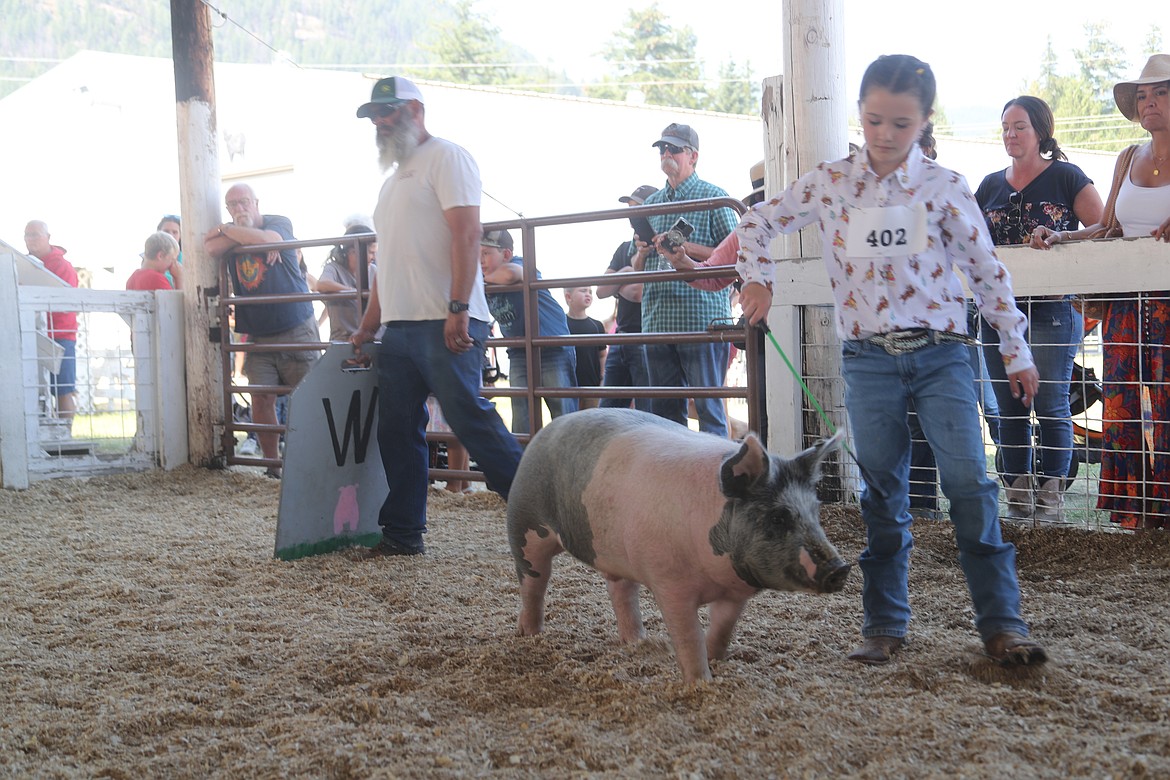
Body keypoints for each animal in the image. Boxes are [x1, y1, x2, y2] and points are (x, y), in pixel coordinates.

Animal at [505, 409, 851, 682]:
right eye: (778, 517)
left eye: (816, 510)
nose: (840, 567)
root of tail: (550, 427)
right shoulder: (669, 583)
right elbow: (688, 635)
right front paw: (699, 683)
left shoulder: (735, 592)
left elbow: (723, 629)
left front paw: (714, 659)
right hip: (524, 522)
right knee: (533, 582)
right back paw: (528, 634)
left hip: (614, 551)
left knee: (621, 590)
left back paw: (636, 642)